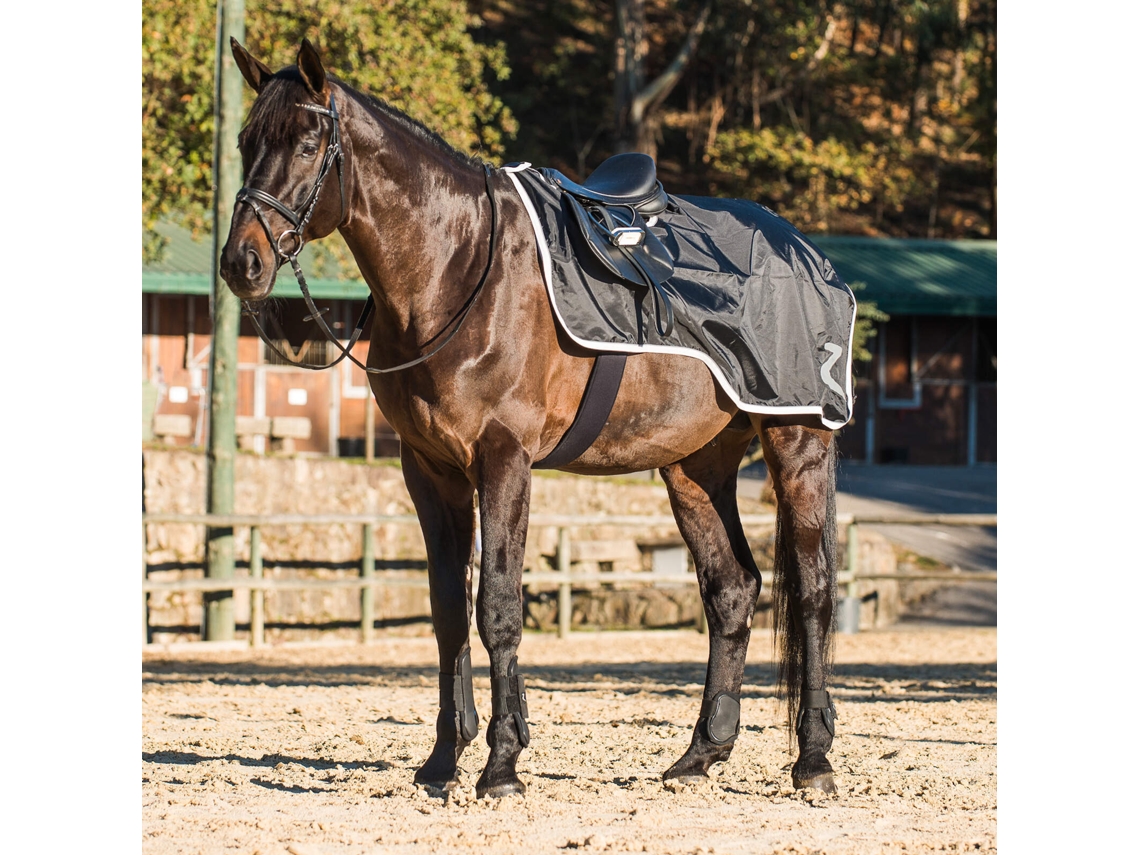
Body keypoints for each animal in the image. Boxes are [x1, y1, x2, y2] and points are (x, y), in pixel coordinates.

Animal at [220, 38, 842, 799]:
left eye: (308, 143)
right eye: (246, 142)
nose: (241, 262)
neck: (455, 269)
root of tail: (807, 253)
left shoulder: (503, 459)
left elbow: (497, 605)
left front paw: (501, 765)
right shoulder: (431, 472)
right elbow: (448, 610)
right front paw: (443, 760)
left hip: (797, 443)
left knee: (811, 590)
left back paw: (813, 758)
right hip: (694, 468)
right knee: (732, 590)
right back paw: (701, 752)